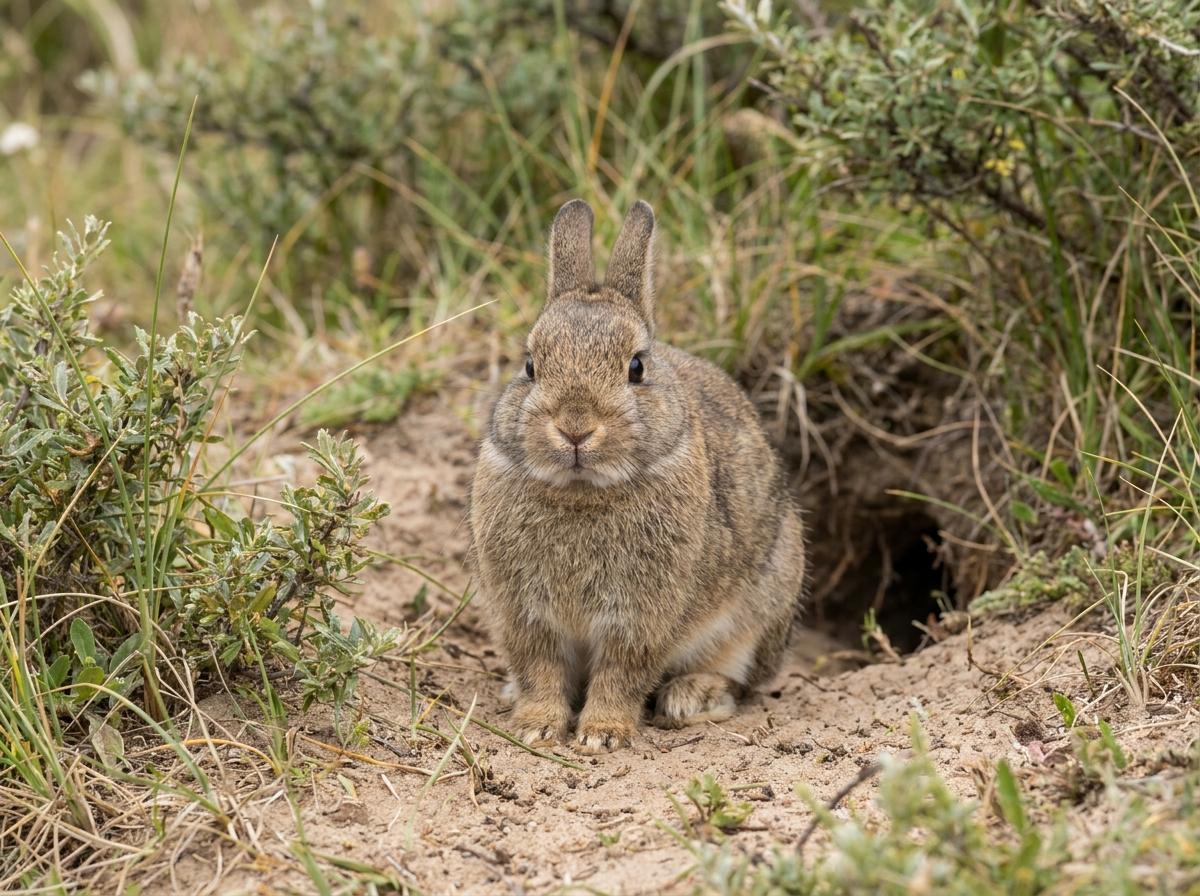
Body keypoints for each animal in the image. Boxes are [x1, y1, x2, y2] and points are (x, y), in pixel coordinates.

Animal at [469, 199, 806, 754]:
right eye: (530, 366)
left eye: (636, 367)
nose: (575, 427)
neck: (582, 491)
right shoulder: (524, 613)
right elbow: (540, 669)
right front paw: (536, 726)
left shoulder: (640, 617)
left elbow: (620, 674)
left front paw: (602, 735)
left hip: (765, 605)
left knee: (742, 679)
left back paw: (692, 697)